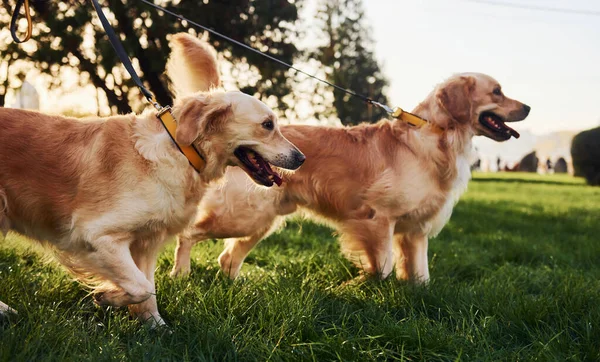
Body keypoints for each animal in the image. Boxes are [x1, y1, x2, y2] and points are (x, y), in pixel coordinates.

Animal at [0, 33, 304, 326]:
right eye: (267, 125)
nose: (301, 158)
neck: (180, 151)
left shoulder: (146, 242)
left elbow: (148, 290)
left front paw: (157, 327)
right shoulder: (95, 235)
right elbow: (142, 287)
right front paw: (107, 296)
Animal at [169, 37, 528, 282]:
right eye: (497, 91)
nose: (528, 107)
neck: (436, 137)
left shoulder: (416, 231)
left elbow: (421, 274)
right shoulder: (378, 218)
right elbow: (383, 266)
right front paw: (368, 288)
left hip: (261, 220)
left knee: (227, 258)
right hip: (241, 215)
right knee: (187, 235)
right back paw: (181, 273)